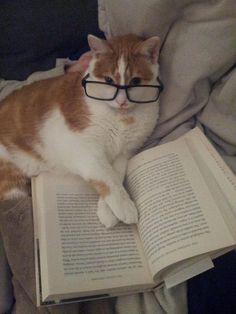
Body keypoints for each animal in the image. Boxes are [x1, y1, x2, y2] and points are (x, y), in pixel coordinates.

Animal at [0, 33, 161, 228]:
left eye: (135, 81)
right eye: (109, 80)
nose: (122, 101)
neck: (121, 117)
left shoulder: (124, 153)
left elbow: (116, 174)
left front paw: (107, 211)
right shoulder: (83, 150)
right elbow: (107, 177)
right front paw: (124, 206)